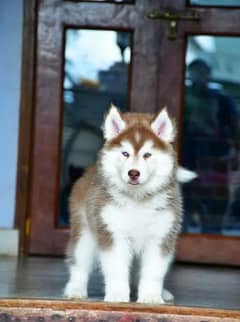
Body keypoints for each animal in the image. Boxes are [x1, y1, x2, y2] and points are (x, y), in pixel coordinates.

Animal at [64, 104, 195, 304]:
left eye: (147, 155)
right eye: (125, 153)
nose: (134, 173)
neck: (137, 199)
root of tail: (90, 170)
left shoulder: (160, 237)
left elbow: (153, 272)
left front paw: (151, 296)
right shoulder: (113, 234)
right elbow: (117, 268)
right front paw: (117, 295)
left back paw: (161, 292)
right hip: (85, 231)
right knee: (79, 263)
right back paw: (76, 290)